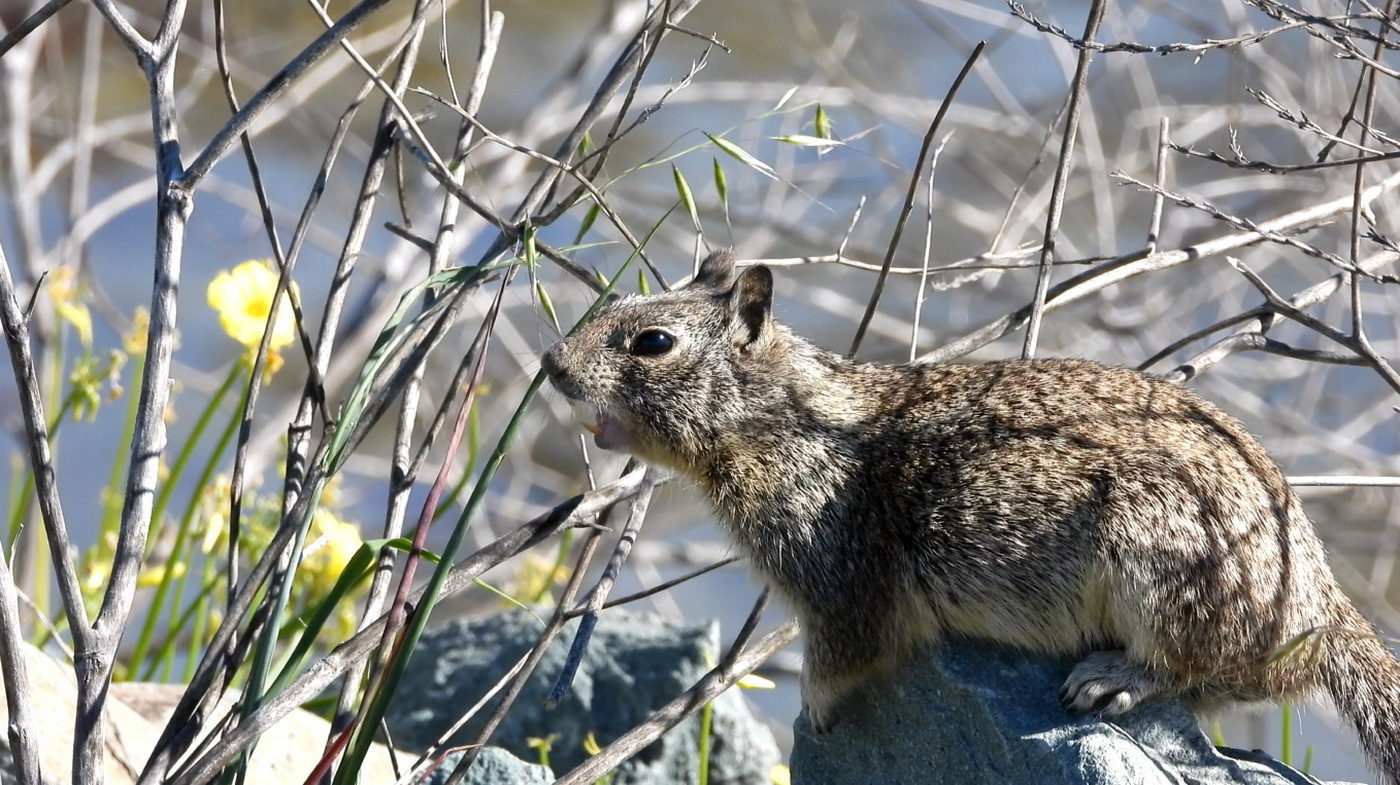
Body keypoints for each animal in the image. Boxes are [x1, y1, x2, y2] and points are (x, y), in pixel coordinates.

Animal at [541, 249, 1400, 783]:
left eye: (652, 341)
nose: (550, 365)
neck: (788, 419)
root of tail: (1326, 610)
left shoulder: (838, 579)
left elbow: (841, 657)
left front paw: (814, 715)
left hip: (1161, 566)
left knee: (1192, 670)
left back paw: (1109, 678)